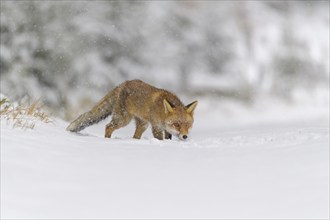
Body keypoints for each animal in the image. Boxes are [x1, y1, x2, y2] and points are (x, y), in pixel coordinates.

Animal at [65, 80, 197, 140]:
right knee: (108, 126)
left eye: (187, 125)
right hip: (123, 119)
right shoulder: (156, 127)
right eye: (176, 124)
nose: (185, 136)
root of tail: (123, 84)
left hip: (143, 124)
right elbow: (160, 139)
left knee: (135, 136)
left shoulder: (165, 129)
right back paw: (107, 140)